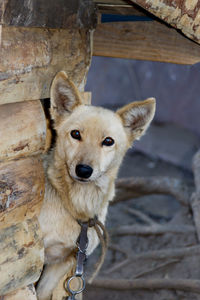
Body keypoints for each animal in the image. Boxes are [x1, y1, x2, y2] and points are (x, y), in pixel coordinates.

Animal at [36, 71, 156, 300]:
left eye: (108, 141)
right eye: (75, 134)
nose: (84, 170)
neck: (76, 207)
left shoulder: (64, 261)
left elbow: (41, 294)